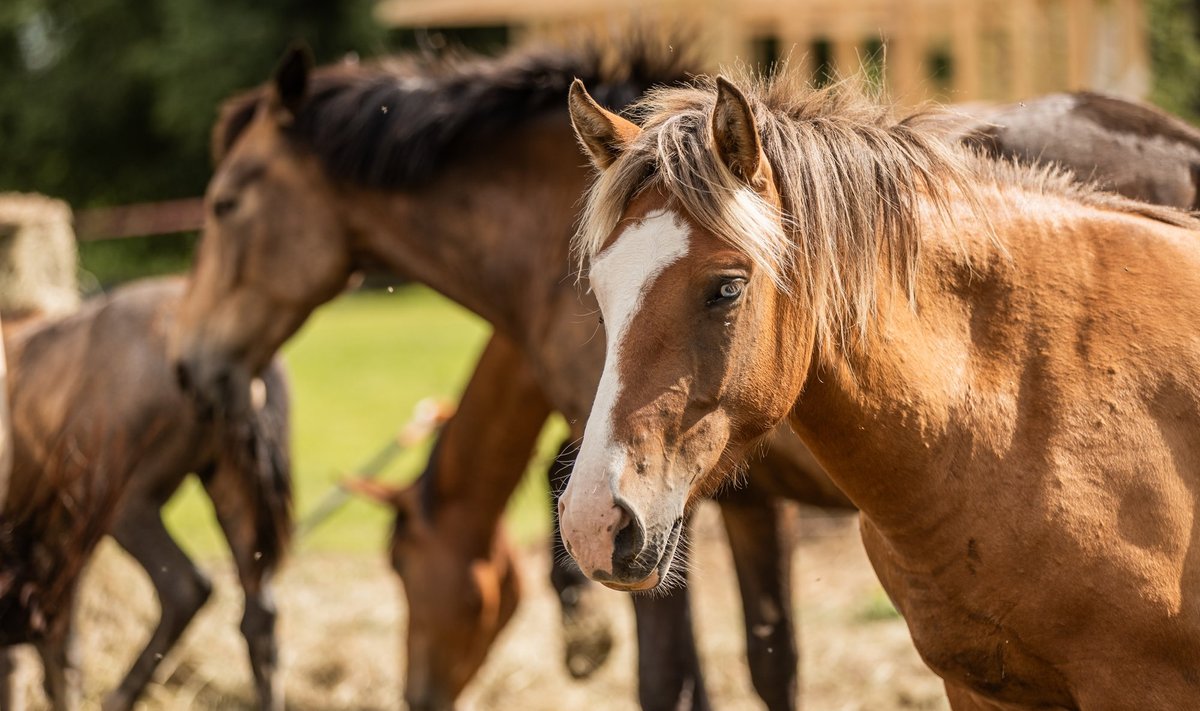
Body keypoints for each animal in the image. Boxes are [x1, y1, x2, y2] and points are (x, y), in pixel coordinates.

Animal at [0, 277, 290, 711]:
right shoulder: (58, 536)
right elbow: (57, 645)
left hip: (129, 500)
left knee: (187, 586)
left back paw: (118, 696)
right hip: (231, 483)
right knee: (261, 611)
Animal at [169, 37, 859, 711]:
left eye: (224, 204)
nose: (188, 365)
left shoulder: (644, 509)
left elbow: (666, 677)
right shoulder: (748, 499)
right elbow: (772, 665)